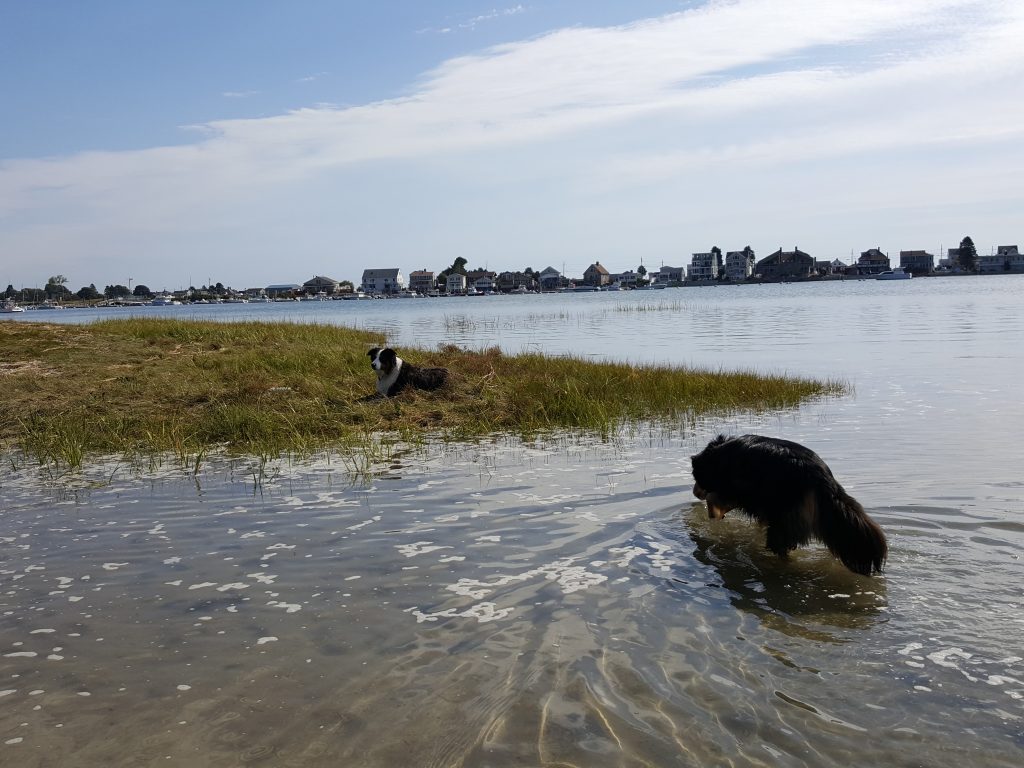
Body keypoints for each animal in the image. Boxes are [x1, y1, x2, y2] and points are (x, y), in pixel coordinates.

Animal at [696, 436, 888, 573]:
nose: (696, 492)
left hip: (784, 521)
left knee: (781, 549)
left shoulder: (737, 489)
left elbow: (716, 498)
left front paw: (713, 513)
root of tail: (821, 477)